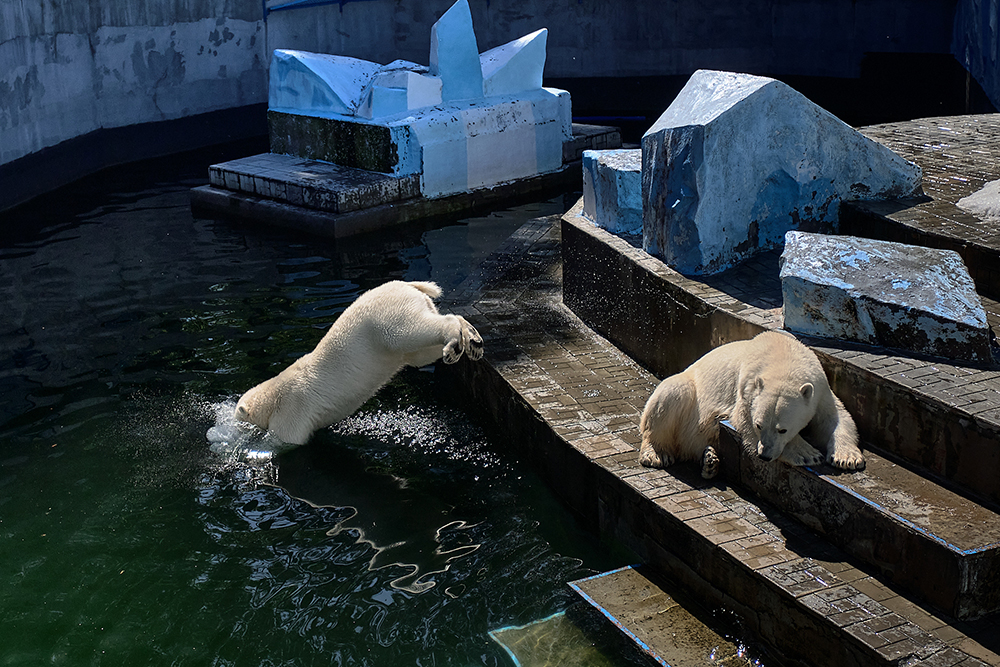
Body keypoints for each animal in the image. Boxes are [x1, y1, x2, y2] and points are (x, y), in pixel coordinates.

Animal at [236, 280, 482, 444]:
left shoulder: (292, 410)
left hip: (386, 317)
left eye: (239, 420)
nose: (236, 428)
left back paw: (454, 345)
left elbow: (285, 443)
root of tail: (407, 284)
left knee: (410, 331)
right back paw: (471, 341)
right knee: (421, 351)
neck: (274, 395)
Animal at [640, 330, 868, 478]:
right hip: (690, 396)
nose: (764, 456)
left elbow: (835, 417)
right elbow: (742, 419)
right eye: (759, 425)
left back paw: (710, 461)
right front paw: (807, 455)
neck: (782, 354)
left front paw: (847, 458)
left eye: (783, 429)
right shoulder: (746, 388)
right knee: (672, 394)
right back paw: (657, 453)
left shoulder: (819, 387)